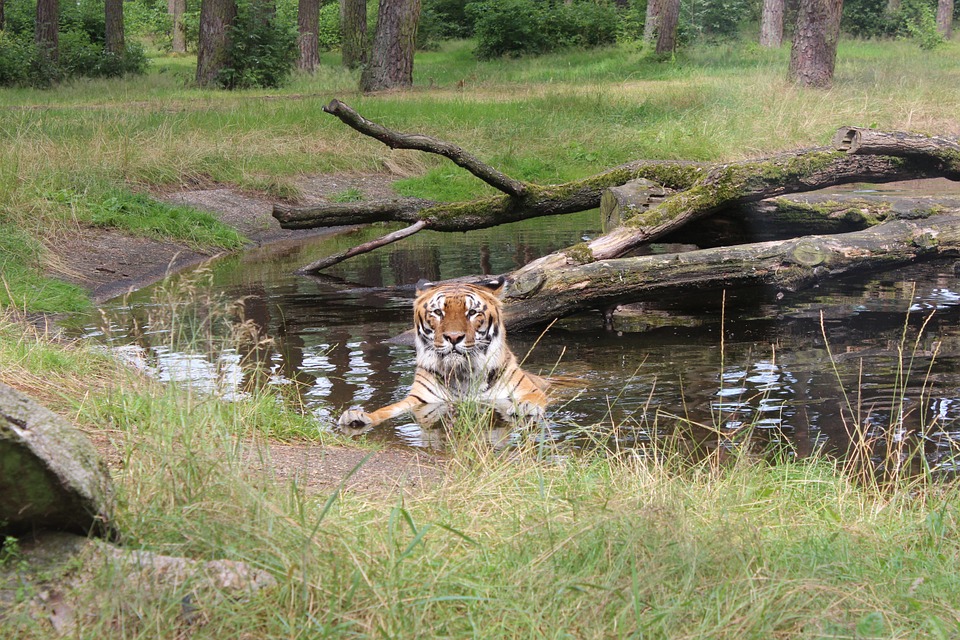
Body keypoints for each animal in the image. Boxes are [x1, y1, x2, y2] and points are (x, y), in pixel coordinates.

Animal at [338, 276, 552, 430]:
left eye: (472, 312)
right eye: (438, 312)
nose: (454, 337)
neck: (462, 373)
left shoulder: (528, 389)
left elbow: (535, 397)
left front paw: (526, 406)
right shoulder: (419, 399)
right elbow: (388, 409)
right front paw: (358, 416)